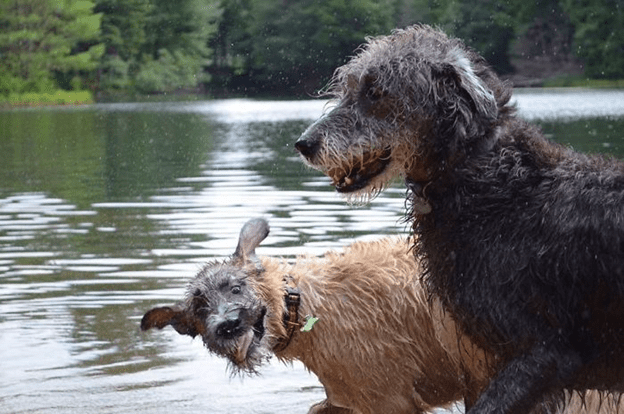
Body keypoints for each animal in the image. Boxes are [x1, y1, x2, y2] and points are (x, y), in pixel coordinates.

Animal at [144, 218, 616, 412]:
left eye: (235, 287)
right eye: (199, 309)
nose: (227, 326)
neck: (309, 307)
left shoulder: (392, 401)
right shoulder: (349, 399)